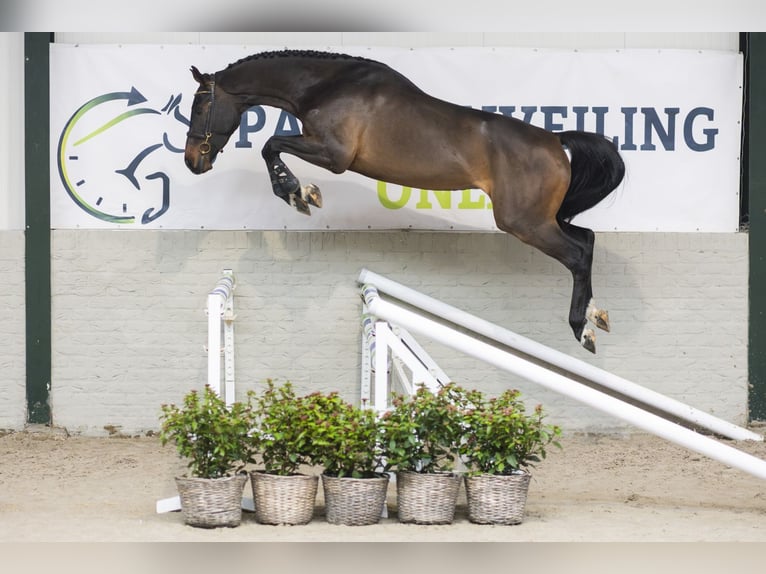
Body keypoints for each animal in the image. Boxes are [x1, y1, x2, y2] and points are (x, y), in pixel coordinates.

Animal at [184, 49, 625, 353]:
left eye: (201, 104)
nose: (192, 161)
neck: (325, 85)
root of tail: (555, 141)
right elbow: (272, 146)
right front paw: (299, 193)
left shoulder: (334, 155)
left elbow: (271, 144)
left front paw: (298, 193)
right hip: (539, 219)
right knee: (587, 238)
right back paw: (597, 315)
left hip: (523, 222)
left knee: (577, 254)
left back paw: (582, 328)